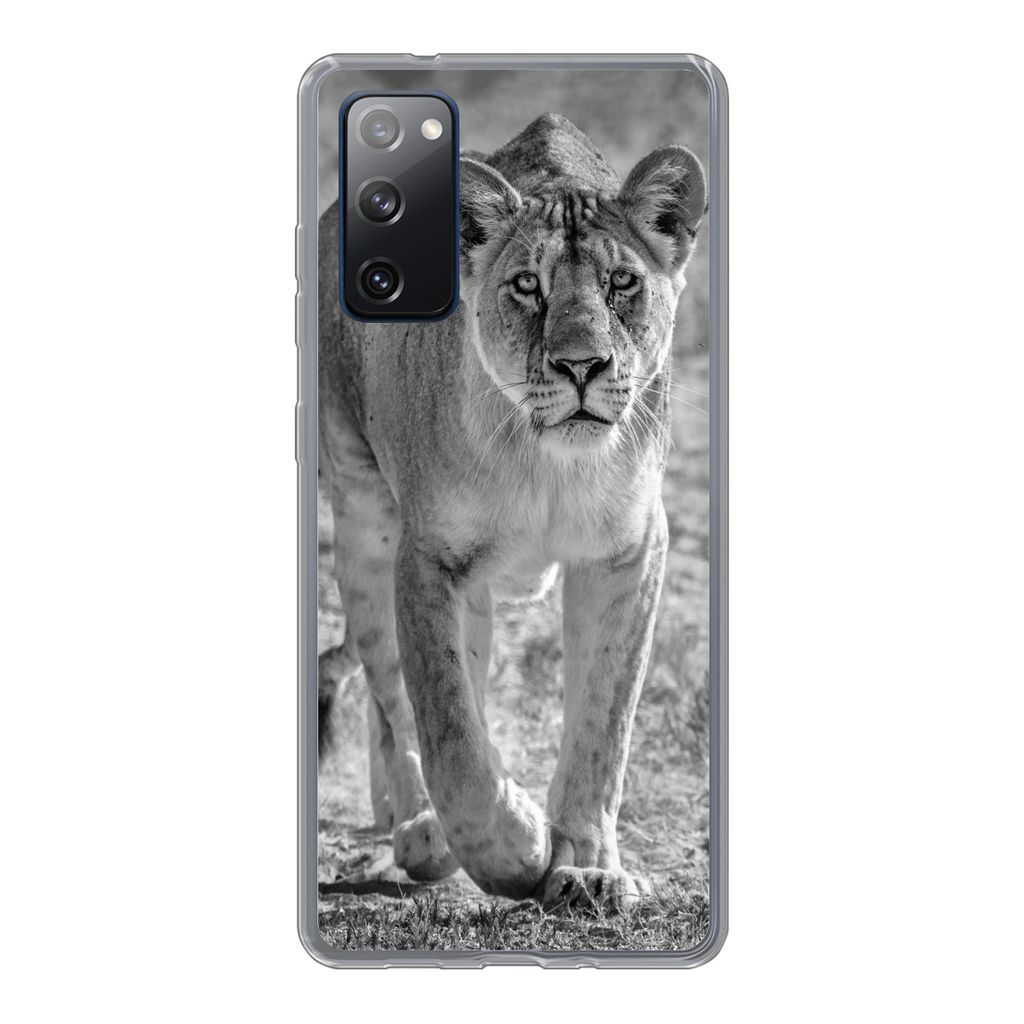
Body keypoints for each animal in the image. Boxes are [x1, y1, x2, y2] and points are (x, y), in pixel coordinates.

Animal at [317, 113, 706, 910]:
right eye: (528, 286)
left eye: (623, 283)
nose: (582, 366)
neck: (550, 463)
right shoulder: (429, 558)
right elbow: (449, 729)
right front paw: (517, 847)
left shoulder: (629, 552)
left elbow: (603, 722)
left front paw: (587, 868)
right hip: (364, 522)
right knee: (392, 695)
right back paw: (419, 826)